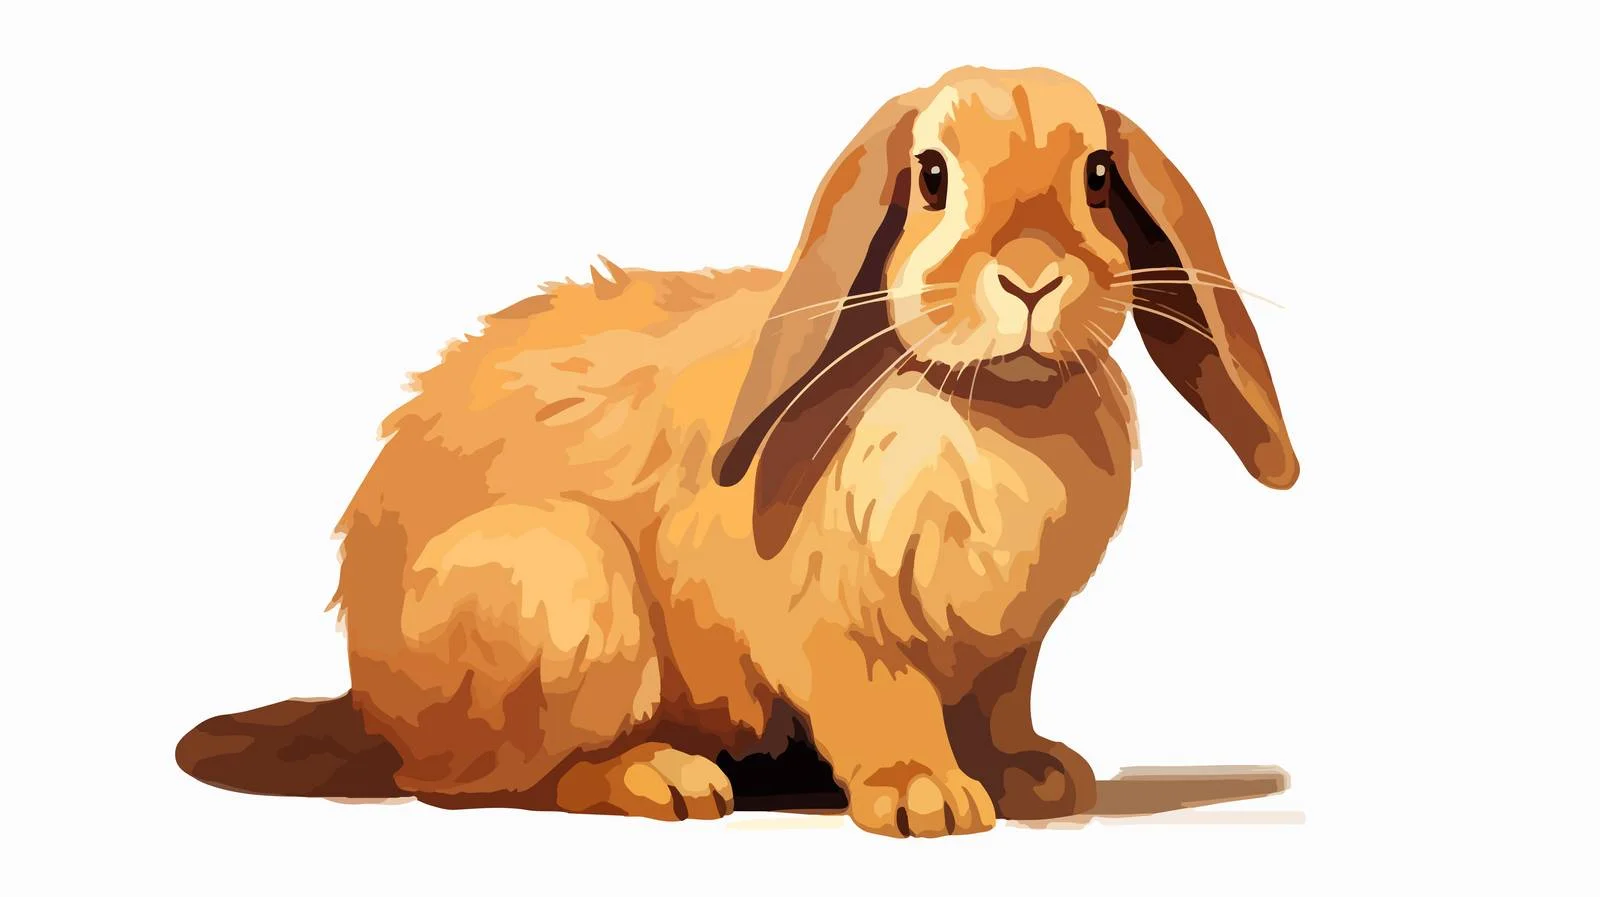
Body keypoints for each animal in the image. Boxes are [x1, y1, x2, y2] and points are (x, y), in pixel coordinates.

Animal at [176, 65, 1297, 838]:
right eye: (932, 176)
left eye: (1099, 177)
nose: (1031, 275)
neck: (984, 398)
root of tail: (370, 698)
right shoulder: (831, 629)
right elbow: (882, 701)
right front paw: (927, 801)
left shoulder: (1007, 652)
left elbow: (996, 706)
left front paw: (1033, 776)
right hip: (563, 584)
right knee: (480, 784)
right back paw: (665, 779)